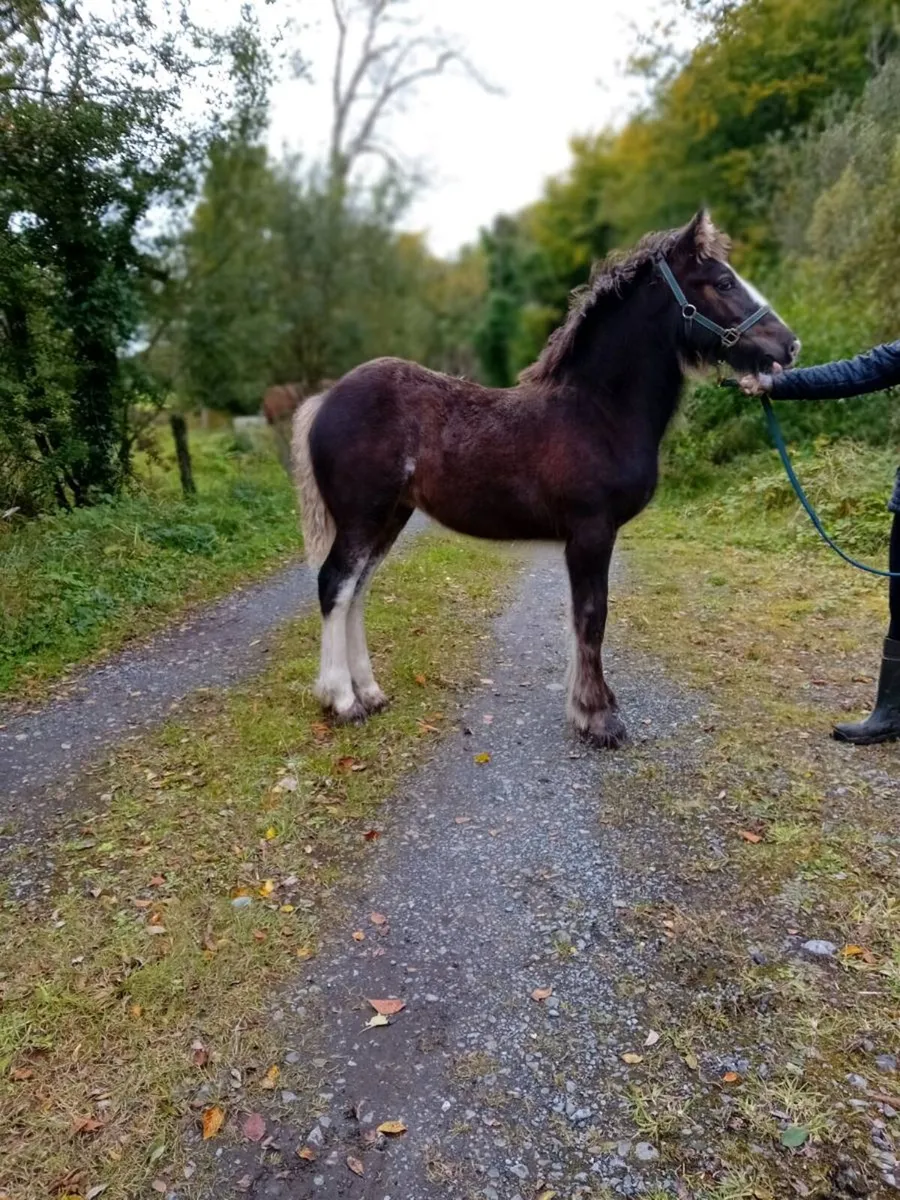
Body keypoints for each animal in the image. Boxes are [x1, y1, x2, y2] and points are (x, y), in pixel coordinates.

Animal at [290, 209, 799, 748]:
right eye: (723, 282)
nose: (789, 345)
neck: (597, 412)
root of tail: (324, 399)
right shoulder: (591, 534)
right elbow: (592, 618)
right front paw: (598, 718)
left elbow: (586, 620)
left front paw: (595, 707)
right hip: (362, 517)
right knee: (335, 585)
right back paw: (342, 700)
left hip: (390, 517)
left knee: (357, 591)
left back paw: (370, 693)